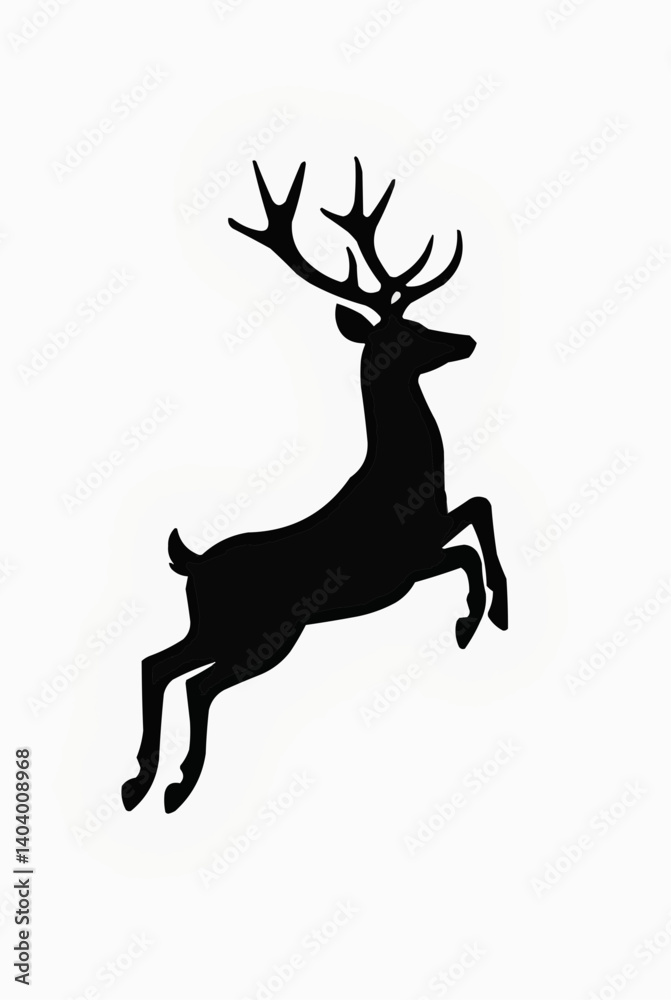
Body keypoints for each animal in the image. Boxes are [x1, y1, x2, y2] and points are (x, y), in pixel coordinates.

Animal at [121, 158, 508, 814]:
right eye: (409, 332)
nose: (465, 341)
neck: (408, 481)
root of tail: (190, 564)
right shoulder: (403, 562)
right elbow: (473, 532)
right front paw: (481, 615)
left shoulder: (420, 549)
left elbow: (477, 512)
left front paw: (483, 614)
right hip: (263, 633)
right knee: (197, 685)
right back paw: (178, 785)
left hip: (214, 628)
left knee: (157, 663)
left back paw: (138, 782)